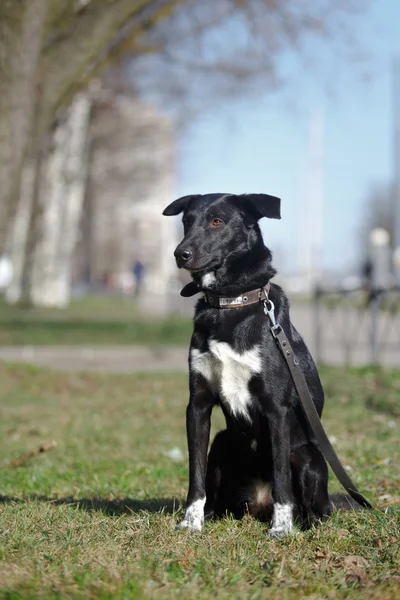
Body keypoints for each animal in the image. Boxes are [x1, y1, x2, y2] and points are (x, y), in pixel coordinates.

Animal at [165, 191, 338, 536]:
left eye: (217, 221)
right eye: (187, 221)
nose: (181, 253)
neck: (229, 304)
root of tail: (258, 502)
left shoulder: (276, 409)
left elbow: (281, 477)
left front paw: (281, 528)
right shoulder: (197, 404)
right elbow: (195, 473)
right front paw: (191, 522)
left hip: (308, 456)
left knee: (313, 506)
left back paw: (304, 522)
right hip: (221, 444)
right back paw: (212, 515)